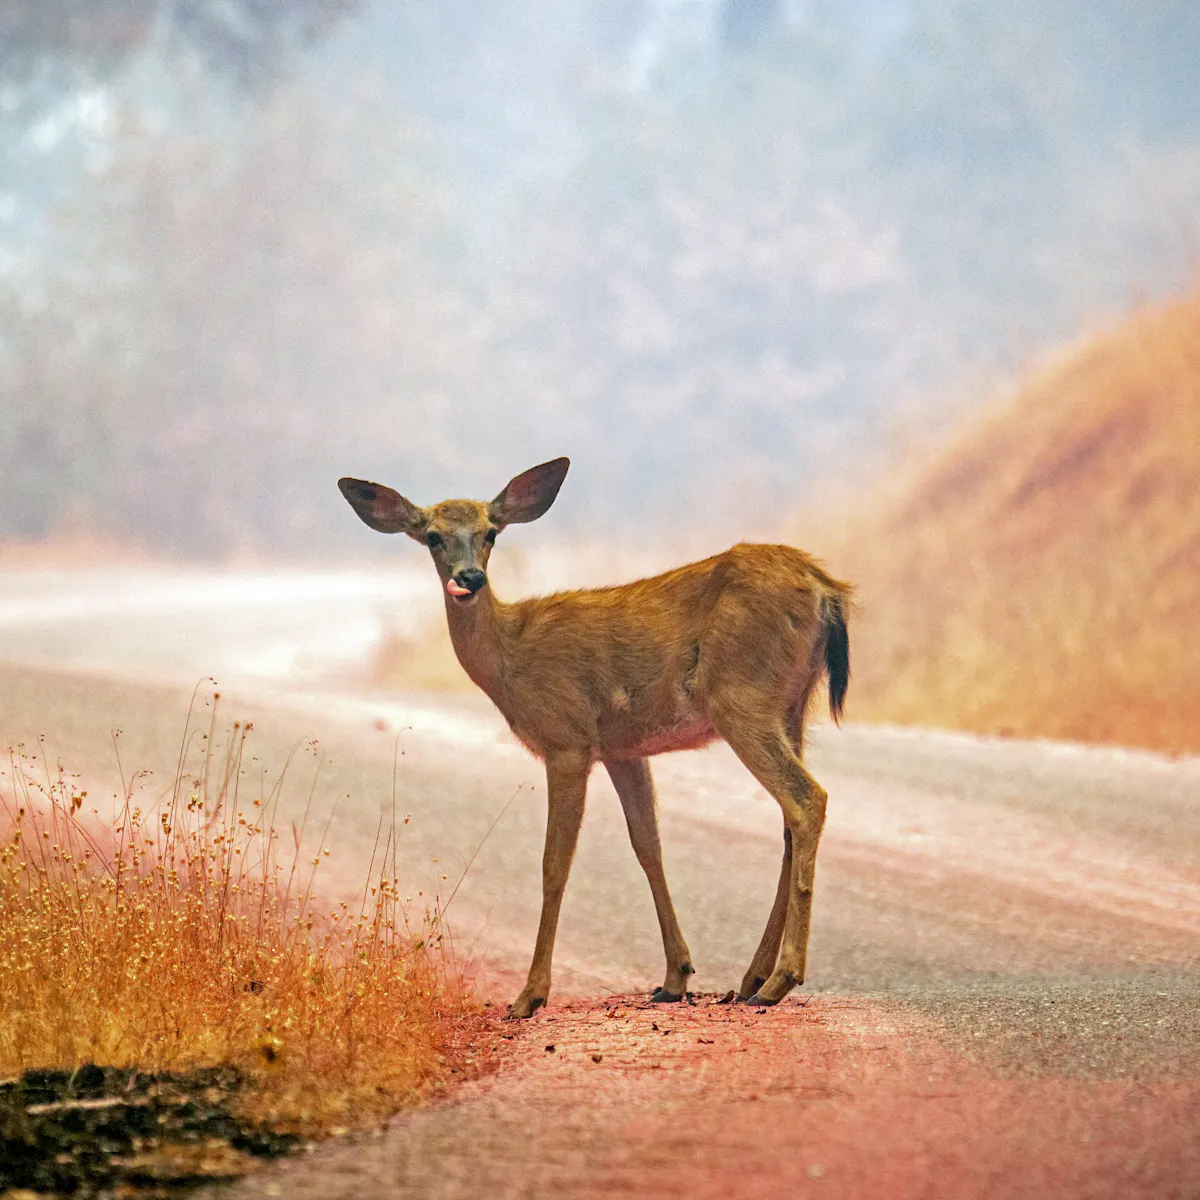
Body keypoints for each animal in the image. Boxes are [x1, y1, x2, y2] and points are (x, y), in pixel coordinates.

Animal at [338, 457, 850, 1017]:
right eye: (432, 536)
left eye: (490, 532)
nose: (469, 577)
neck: (511, 661)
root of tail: (827, 588)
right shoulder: (623, 749)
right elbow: (648, 846)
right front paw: (675, 976)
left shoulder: (567, 738)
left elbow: (553, 863)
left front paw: (530, 994)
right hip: (792, 706)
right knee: (789, 820)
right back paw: (752, 976)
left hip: (741, 698)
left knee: (808, 799)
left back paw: (780, 978)